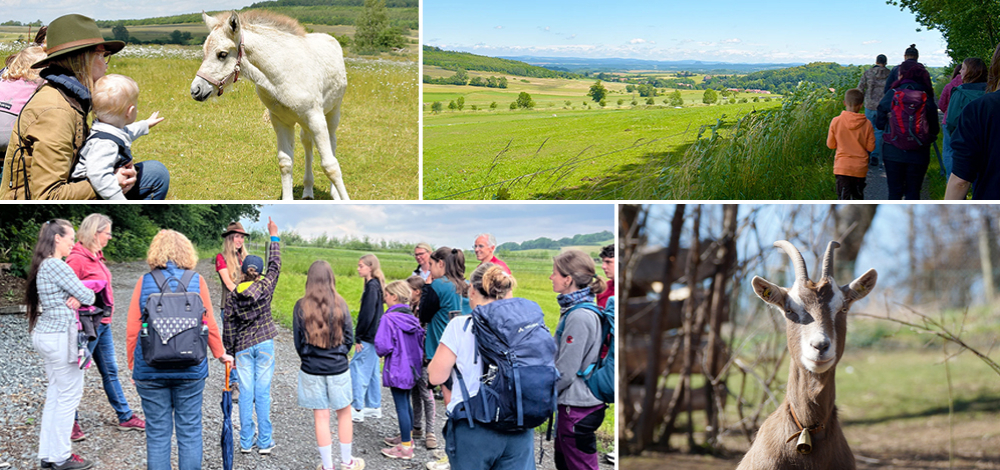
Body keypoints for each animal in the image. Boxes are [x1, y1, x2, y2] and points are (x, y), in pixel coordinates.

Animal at [189, 10, 350, 198]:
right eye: (204, 52)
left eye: (222, 54)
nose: (196, 90)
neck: (282, 73)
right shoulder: (281, 121)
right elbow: (285, 162)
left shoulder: (315, 118)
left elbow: (330, 166)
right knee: (307, 142)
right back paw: (308, 190)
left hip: (331, 113)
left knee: (332, 142)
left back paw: (333, 193)